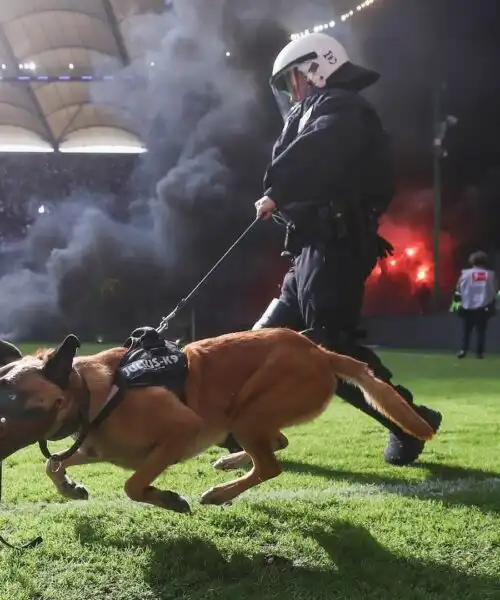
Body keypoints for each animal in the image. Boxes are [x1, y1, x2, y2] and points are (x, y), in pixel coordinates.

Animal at [0, 328, 434, 510]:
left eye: (9, 395)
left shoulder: (181, 431)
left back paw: (222, 492)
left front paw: (167, 499)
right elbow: (53, 464)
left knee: (270, 465)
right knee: (278, 444)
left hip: (249, 414)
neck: (94, 393)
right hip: (250, 416)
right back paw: (230, 461)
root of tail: (321, 352)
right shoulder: (95, 449)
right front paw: (70, 488)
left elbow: (133, 484)